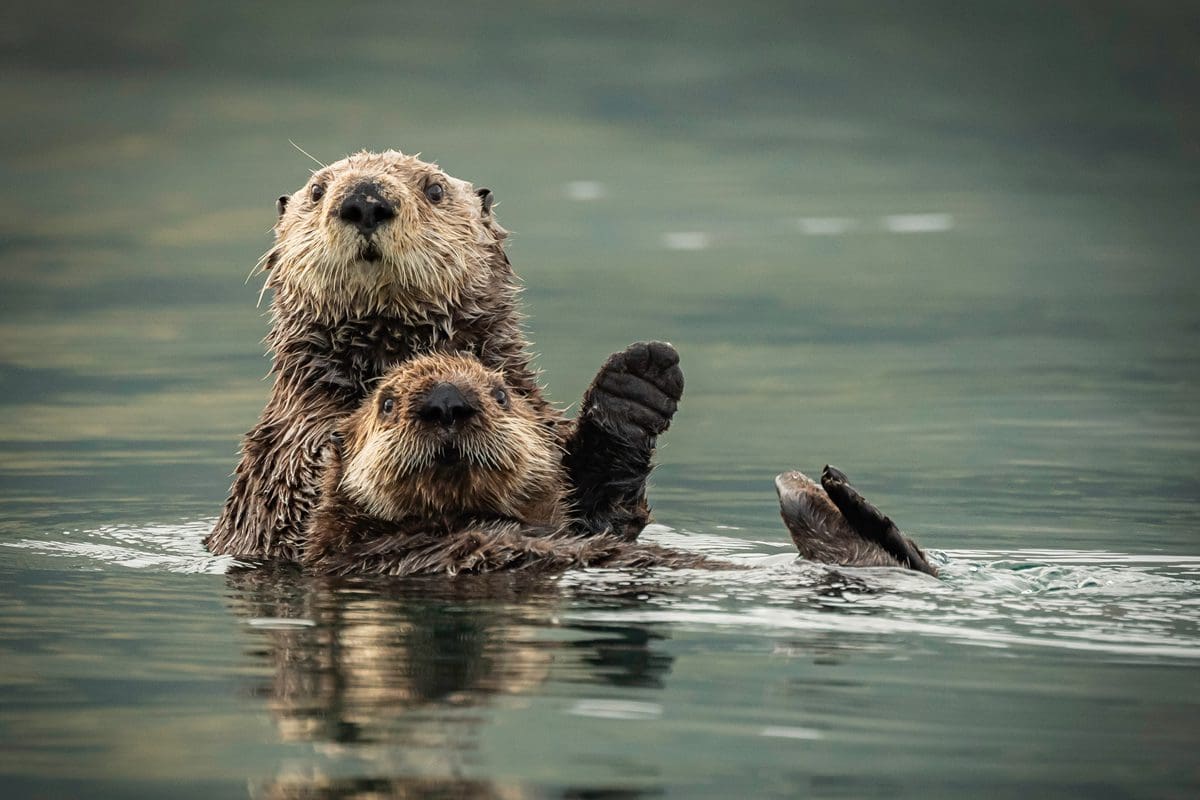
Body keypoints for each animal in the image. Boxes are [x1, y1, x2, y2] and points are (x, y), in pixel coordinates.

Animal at [206, 150, 682, 561]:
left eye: (434, 189)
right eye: (318, 190)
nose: (365, 200)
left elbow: (598, 514)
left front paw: (636, 383)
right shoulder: (285, 454)